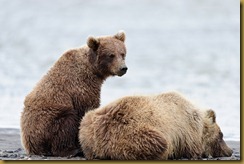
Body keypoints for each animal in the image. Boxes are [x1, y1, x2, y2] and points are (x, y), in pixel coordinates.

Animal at [79, 91, 234, 159]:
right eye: (221, 135)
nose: (230, 151)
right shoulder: (186, 133)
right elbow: (192, 149)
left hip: (88, 124)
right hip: (130, 133)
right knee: (159, 142)